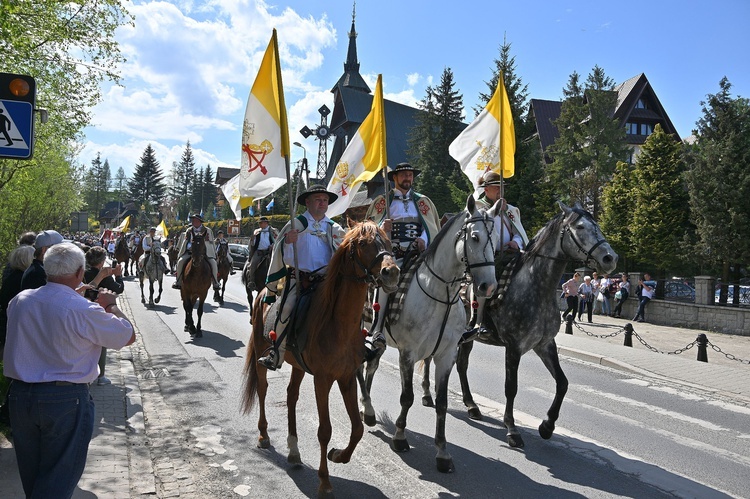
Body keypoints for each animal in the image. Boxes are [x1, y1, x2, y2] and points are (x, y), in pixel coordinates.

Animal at [244, 223, 402, 499]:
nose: (391, 272)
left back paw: (294, 451)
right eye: (363, 244)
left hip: (298, 366)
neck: (337, 323)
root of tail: (263, 291)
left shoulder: (347, 377)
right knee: (263, 389)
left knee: (291, 396)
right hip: (262, 353)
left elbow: (358, 428)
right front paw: (325, 481)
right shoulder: (323, 379)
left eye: (387, 241)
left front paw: (338, 455)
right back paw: (264, 434)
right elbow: (325, 430)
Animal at [360, 194, 502, 472]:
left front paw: (442, 452)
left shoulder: (445, 356)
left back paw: (366, 409)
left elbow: (443, 403)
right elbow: (407, 397)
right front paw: (400, 437)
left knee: (370, 366)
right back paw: (367, 409)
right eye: (475, 237)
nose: (488, 286)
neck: (440, 295)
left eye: (495, 239)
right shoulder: (407, 353)